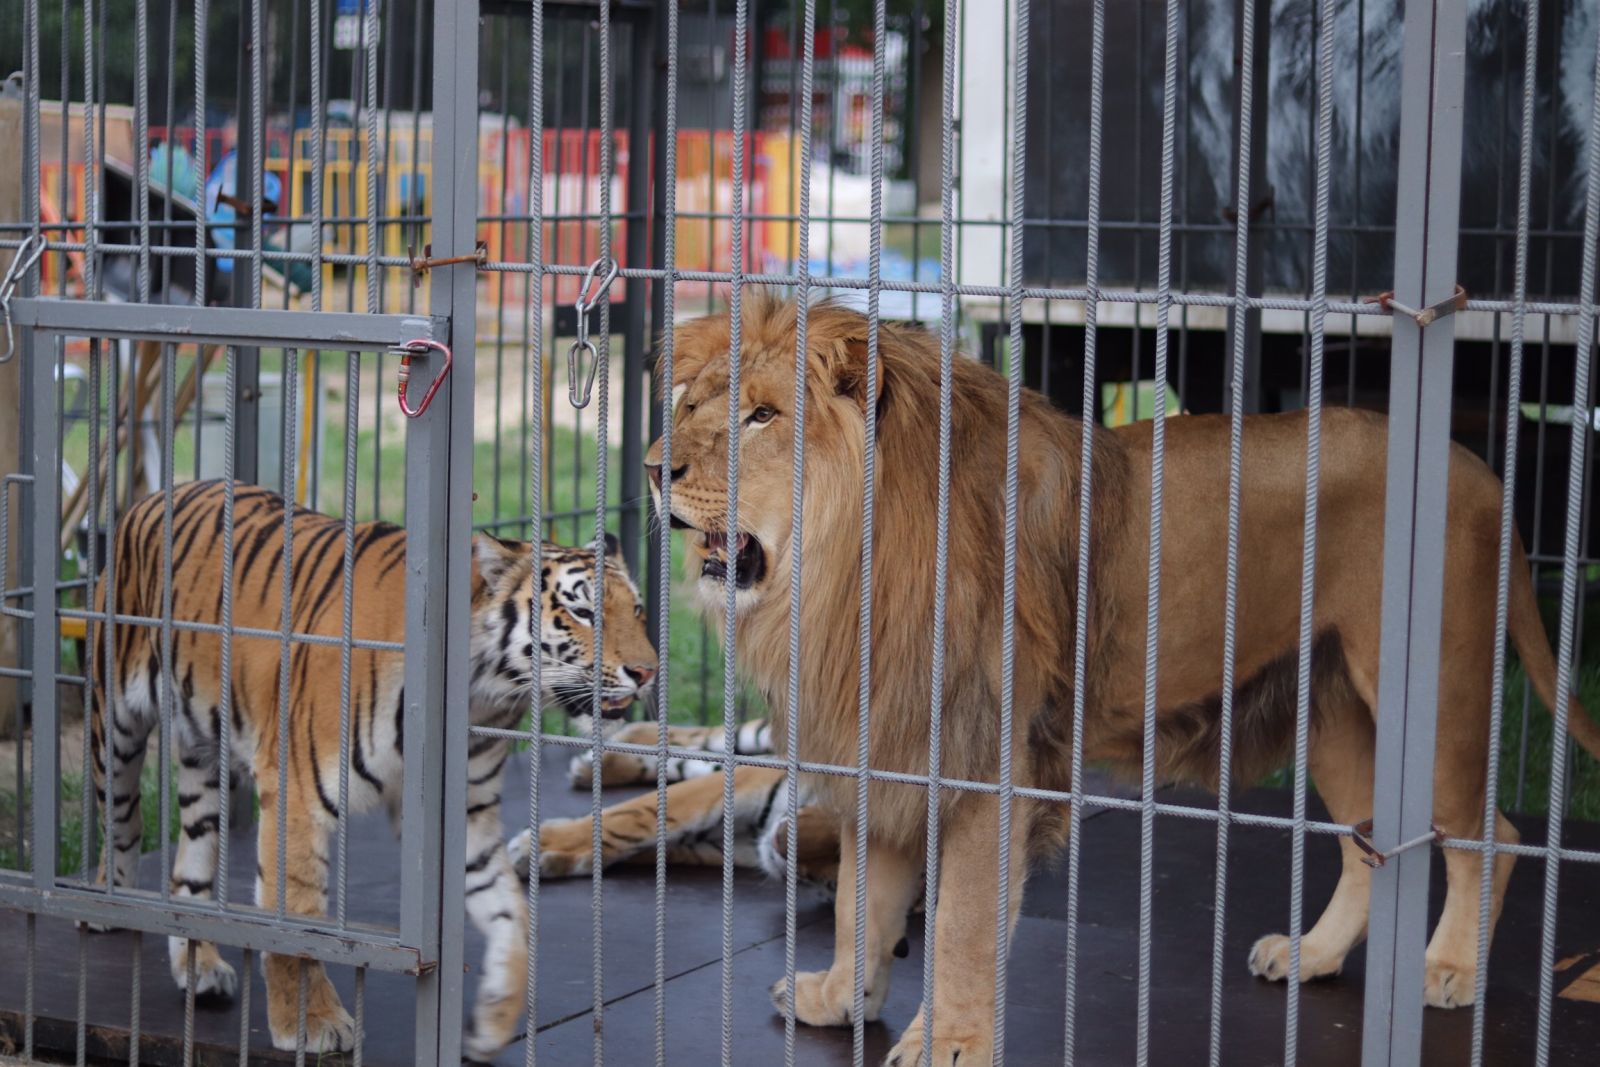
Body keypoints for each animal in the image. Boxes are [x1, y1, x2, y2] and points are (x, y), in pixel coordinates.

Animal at [89, 483, 656, 1062]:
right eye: (582, 611)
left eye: (636, 609)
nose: (648, 672)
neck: (483, 691)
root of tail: (161, 493)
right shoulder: (296, 792)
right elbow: (299, 916)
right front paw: (313, 1025)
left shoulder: (467, 813)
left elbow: (510, 914)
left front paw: (494, 1019)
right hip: (116, 721)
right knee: (122, 820)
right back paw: (105, 904)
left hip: (210, 758)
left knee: (191, 866)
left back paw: (199, 966)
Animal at [640, 294, 1600, 1067]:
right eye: (690, 404)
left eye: (763, 416)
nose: (652, 468)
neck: (845, 572)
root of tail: (1480, 469)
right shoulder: (893, 738)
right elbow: (859, 902)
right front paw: (841, 999)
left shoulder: (986, 759)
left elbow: (957, 923)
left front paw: (948, 1041)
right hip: (1329, 709)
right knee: (1368, 839)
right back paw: (1313, 953)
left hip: (1436, 697)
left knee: (1490, 833)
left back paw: (1449, 967)